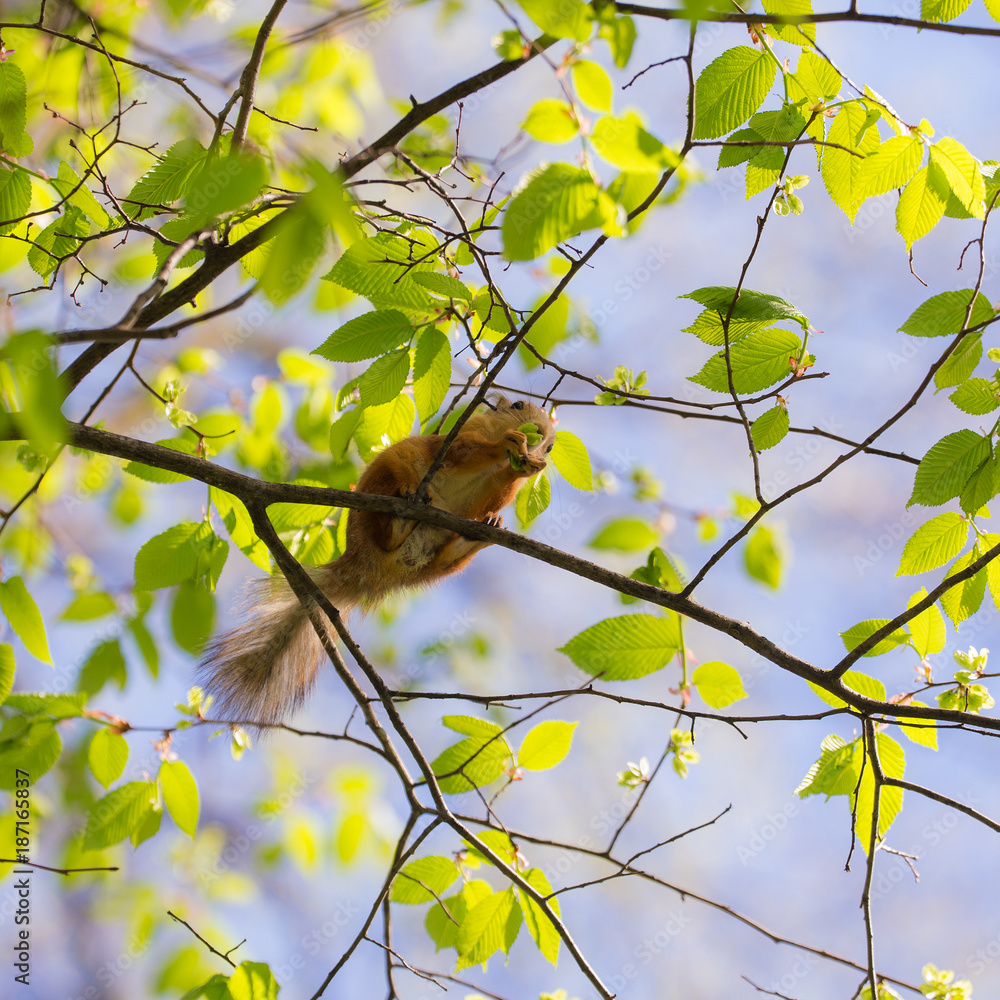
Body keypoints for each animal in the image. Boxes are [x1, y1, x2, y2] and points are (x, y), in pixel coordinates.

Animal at [201, 396, 556, 725]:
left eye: (552, 447)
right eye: (519, 405)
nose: (541, 435)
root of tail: (365, 568)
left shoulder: (490, 491)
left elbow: (497, 491)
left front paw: (527, 466)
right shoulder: (453, 441)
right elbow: (462, 450)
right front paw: (507, 444)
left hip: (439, 562)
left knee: (446, 559)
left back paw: (479, 534)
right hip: (385, 477)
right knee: (389, 521)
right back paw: (399, 519)